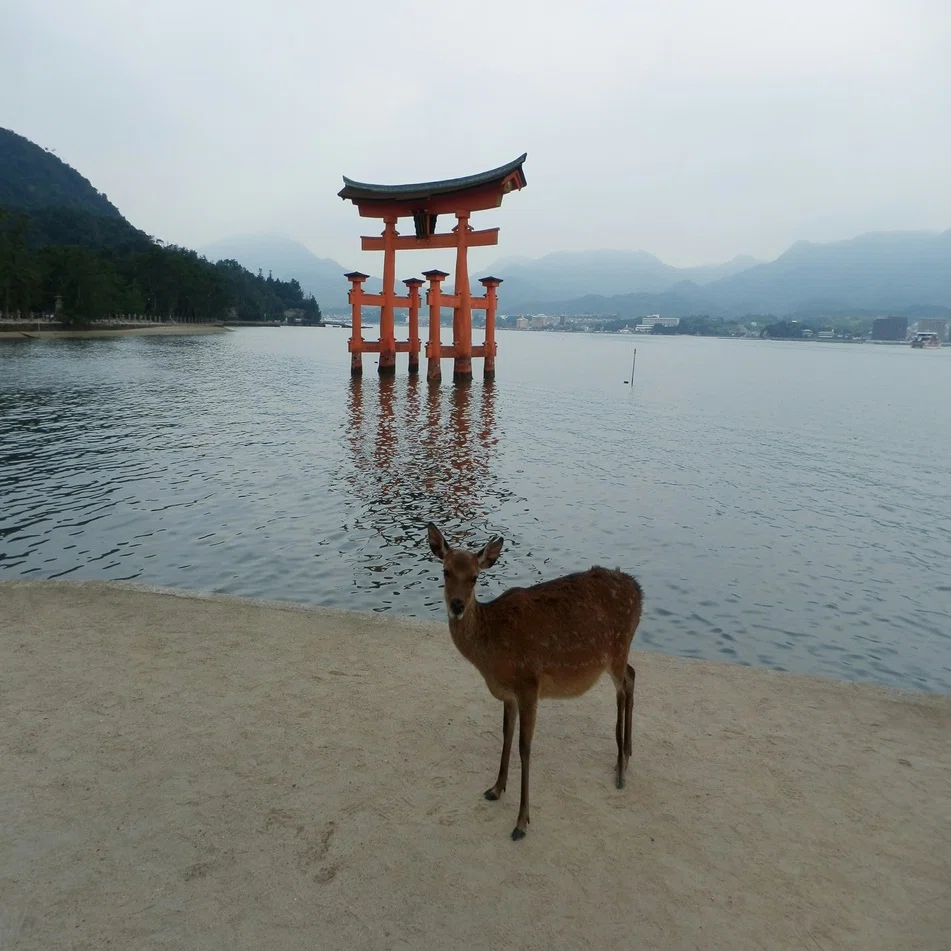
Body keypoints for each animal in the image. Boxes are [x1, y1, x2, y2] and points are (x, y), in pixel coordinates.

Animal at [426, 522, 643, 841]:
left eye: (475, 577)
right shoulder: (508, 693)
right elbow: (506, 734)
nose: (457, 606)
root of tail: (639, 591)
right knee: (632, 674)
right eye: (445, 571)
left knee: (624, 684)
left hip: (616, 648)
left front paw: (521, 822)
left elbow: (524, 747)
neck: (490, 658)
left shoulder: (529, 684)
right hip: (620, 651)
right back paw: (627, 753)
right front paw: (496, 788)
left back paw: (621, 768)